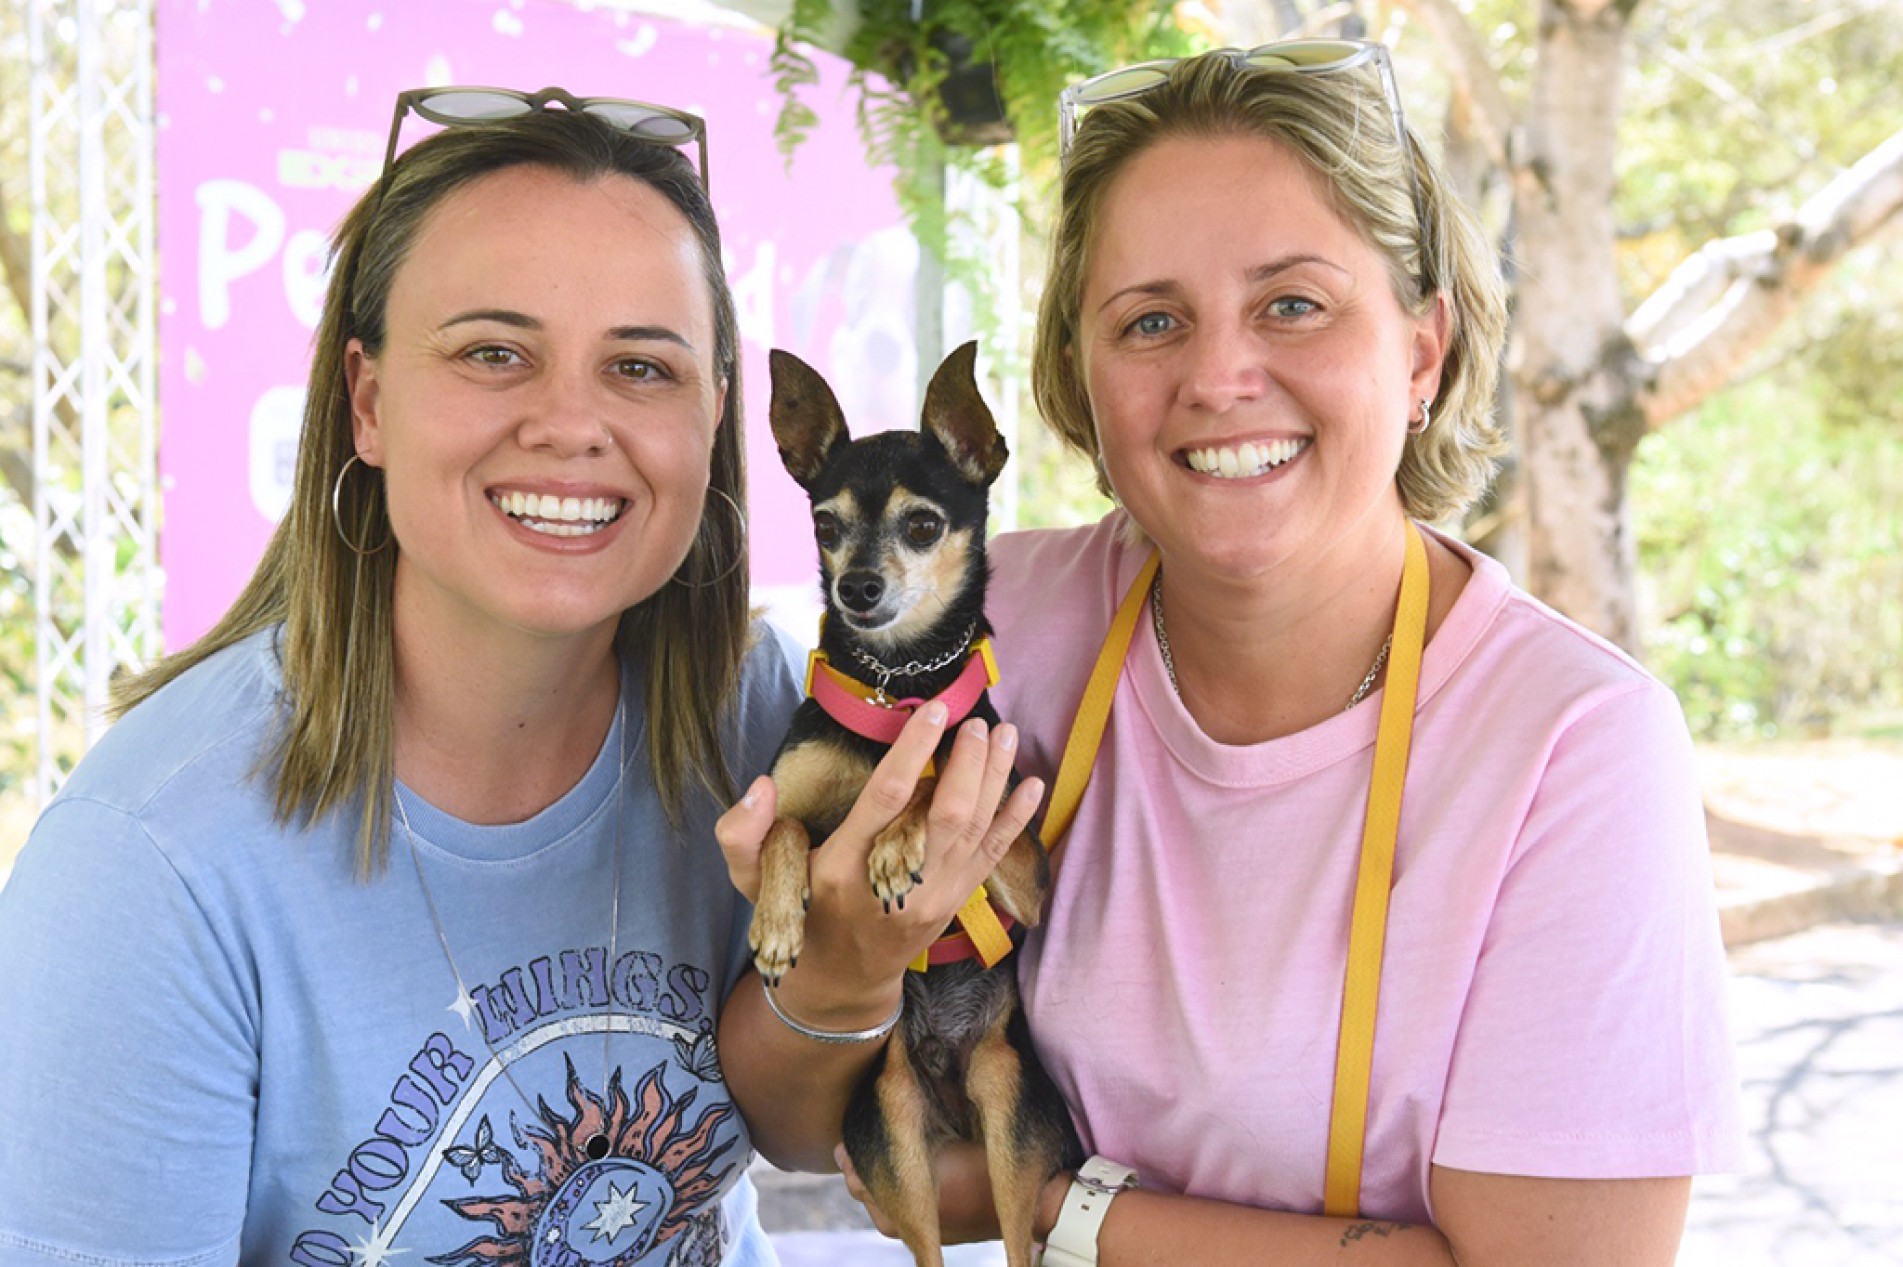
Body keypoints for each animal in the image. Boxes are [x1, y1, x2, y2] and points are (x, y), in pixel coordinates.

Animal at [757, 340, 1088, 1255]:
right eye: (825, 526)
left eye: (922, 525)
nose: (857, 588)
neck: (895, 687)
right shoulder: (774, 797)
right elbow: (783, 827)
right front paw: (776, 920)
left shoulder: (1028, 870)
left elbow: (934, 774)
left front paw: (901, 835)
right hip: (890, 1132)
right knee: (927, 1244)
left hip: (1011, 1109)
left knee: (1014, 1236)